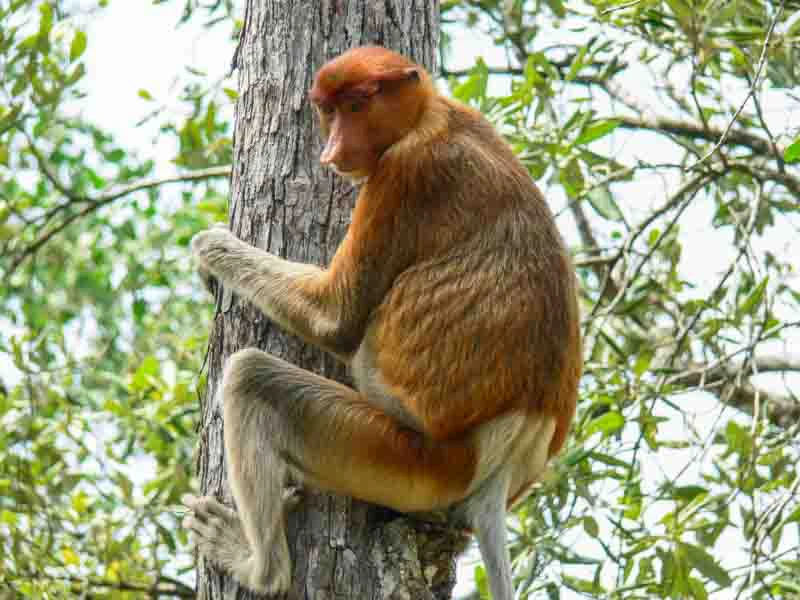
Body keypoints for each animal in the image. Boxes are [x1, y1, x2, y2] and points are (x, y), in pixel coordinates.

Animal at [183, 46, 581, 600]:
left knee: (251, 379)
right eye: (329, 110)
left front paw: (209, 247)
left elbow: (336, 318)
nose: (332, 150)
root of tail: (506, 457)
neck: (431, 116)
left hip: (404, 459)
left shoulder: (405, 176)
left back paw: (256, 565)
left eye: (357, 105)